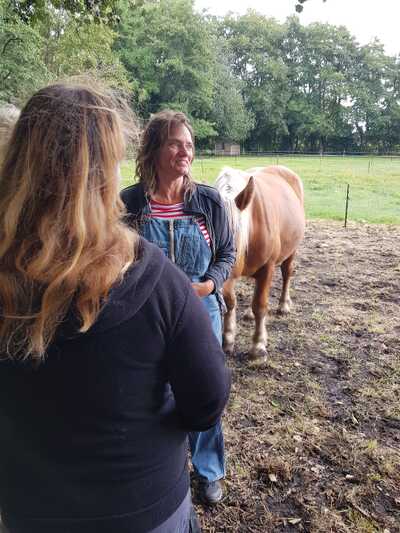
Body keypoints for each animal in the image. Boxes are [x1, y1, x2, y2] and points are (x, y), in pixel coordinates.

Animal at [216, 164, 306, 360]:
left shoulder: (267, 268)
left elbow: (260, 305)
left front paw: (258, 345)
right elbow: (230, 302)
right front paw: (227, 338)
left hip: (291, 251)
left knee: (287, 273)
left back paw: (283, 305)